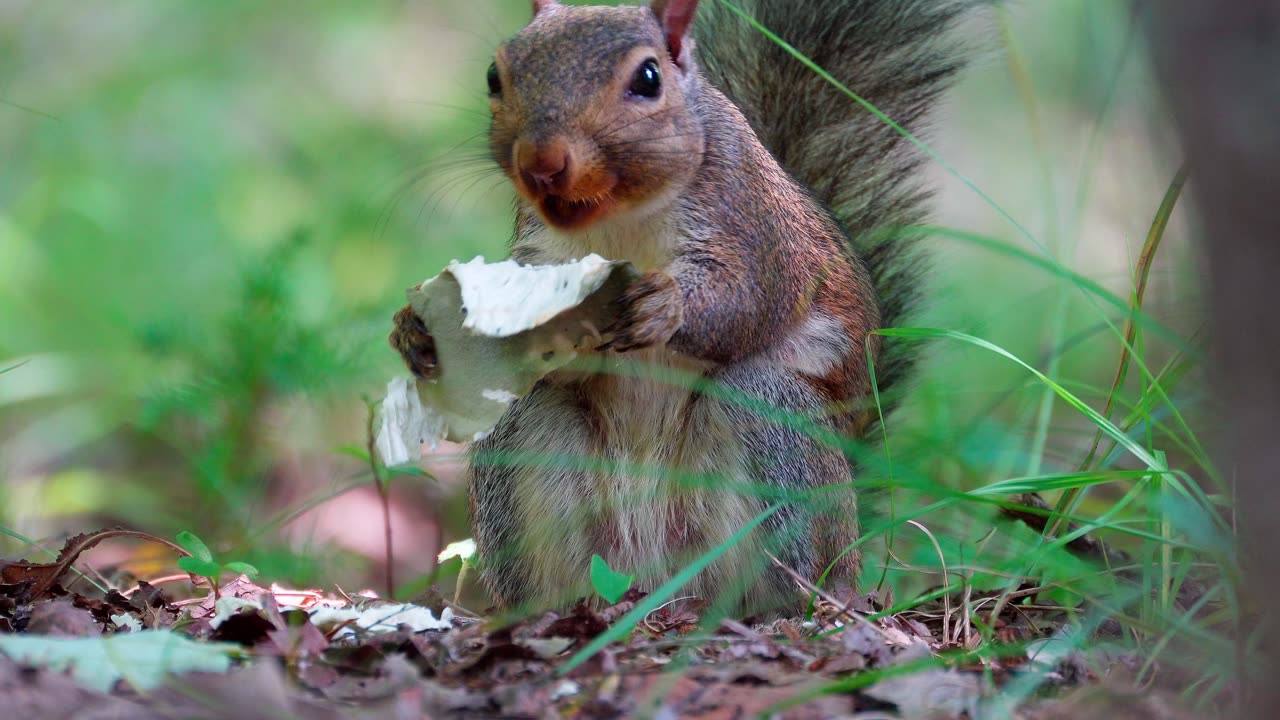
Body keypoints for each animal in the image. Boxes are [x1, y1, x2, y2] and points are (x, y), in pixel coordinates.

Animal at [389, 1, 977, 617]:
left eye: (648, 78)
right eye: (494, 76)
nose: (542, 162)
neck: (617, 216)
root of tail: (659, 580)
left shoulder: (756, 226)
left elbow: (748, 302)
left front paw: (664, 306)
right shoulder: (537, 249)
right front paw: (419, 330)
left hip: (776, 431)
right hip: (528, 466)